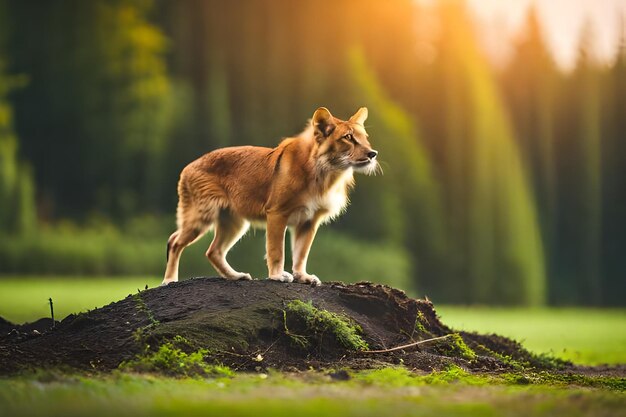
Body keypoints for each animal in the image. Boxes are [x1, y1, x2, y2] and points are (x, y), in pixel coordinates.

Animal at [161, 106, 376, 286]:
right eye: (348, 137)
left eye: (365, 137)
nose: (373, 153)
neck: (326, 173)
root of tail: (188, 166)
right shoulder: (277, 213)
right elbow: (276, 250)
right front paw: (277, 276)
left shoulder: (309, 221)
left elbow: (301, 253)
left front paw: (302, 277)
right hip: (201, 215)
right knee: (174, 241)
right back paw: (169, 280)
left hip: (234, 222)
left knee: (213, 251)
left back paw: (236, 276)